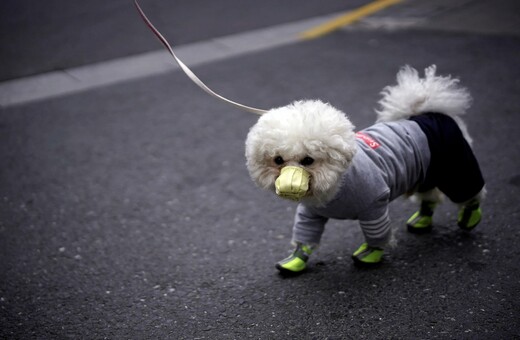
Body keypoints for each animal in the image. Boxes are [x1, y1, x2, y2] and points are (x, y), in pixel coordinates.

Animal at [246, 65, 486, 274]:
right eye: (278, 160)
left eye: (308, 160)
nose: (288, 184)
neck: (335, 188)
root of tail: (427, 114)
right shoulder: (310, 212)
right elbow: (304, 236)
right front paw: (295, 260)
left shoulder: (374, 207)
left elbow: (376, 236)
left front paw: (370, 255)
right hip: (426, 173)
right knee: (429, 196)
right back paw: (422, 219)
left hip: (455, 167)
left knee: (470, 192)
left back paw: (469, 216)